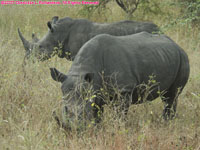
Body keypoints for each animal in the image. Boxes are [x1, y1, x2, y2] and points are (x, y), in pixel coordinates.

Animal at [49, 31, 189, 129]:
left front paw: (119, 128)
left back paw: (166, 123)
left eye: (82, 112)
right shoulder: (96, 90)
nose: (74, 130)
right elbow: (97, 114)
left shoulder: (123, 89)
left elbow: (120, 114)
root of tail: (177, 45)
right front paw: (97, 129)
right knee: (168, 97)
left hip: (183, 58)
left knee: (172, 96)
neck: (82, 70)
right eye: (64, 109)